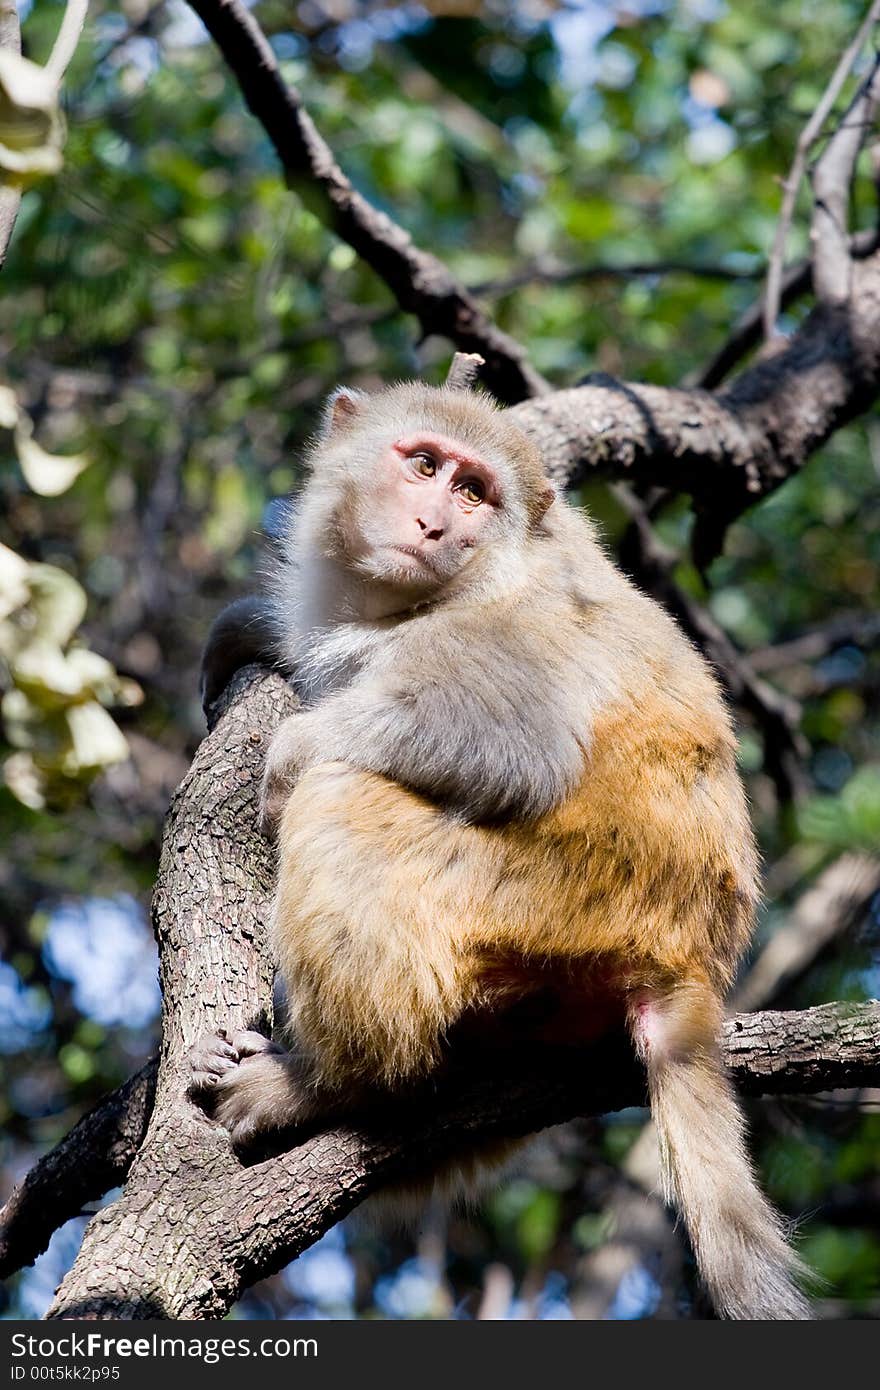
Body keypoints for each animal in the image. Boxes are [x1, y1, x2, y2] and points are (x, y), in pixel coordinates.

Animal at [190, 378, 811, 1312]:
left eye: (475, 492)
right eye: (423, 465)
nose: (434, 526)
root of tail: (687, 958)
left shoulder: (504, 633)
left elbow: (515, 746)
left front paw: (290, 749)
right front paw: (259, 627)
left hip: (551, 900)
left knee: (343, 798)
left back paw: (331, 1083)